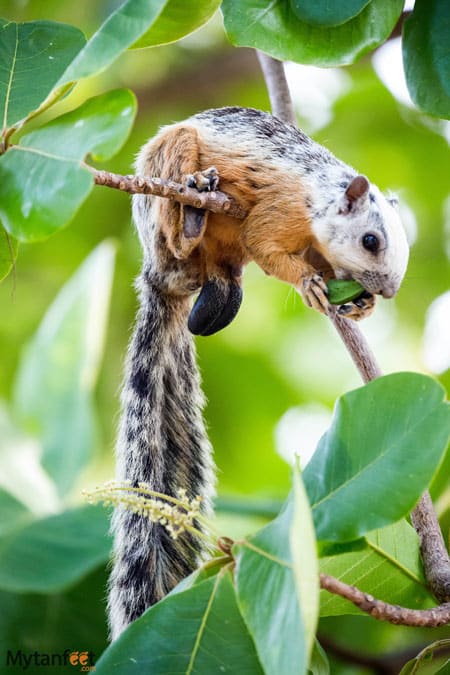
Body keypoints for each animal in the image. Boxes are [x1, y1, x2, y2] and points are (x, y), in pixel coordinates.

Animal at [107, 105, 410, 640]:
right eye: (371, 240)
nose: (389, 289)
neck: (319, 196)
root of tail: (161, 280)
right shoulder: (279, 208)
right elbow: (265, 245)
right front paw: (310, 284)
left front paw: (361, 304)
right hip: (167, 172)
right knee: (178, 235)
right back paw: (191, 213)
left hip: (222, 269)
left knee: (223, 282)